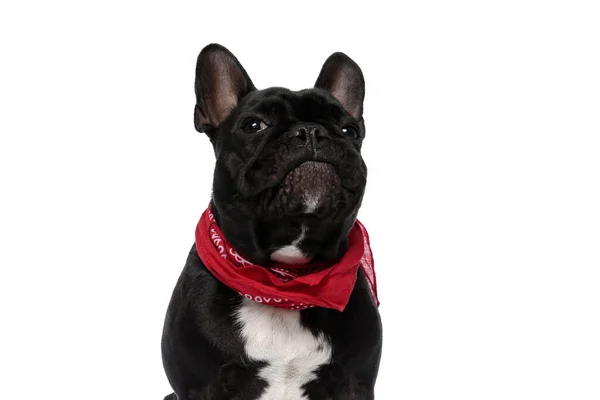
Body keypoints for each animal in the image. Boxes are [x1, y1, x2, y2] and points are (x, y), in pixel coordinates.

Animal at [162, 44, 382, 400]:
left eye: (350, 130)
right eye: (254, 125)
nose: (311, 131)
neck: (283, 280)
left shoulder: (355, 383)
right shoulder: (199, 387)